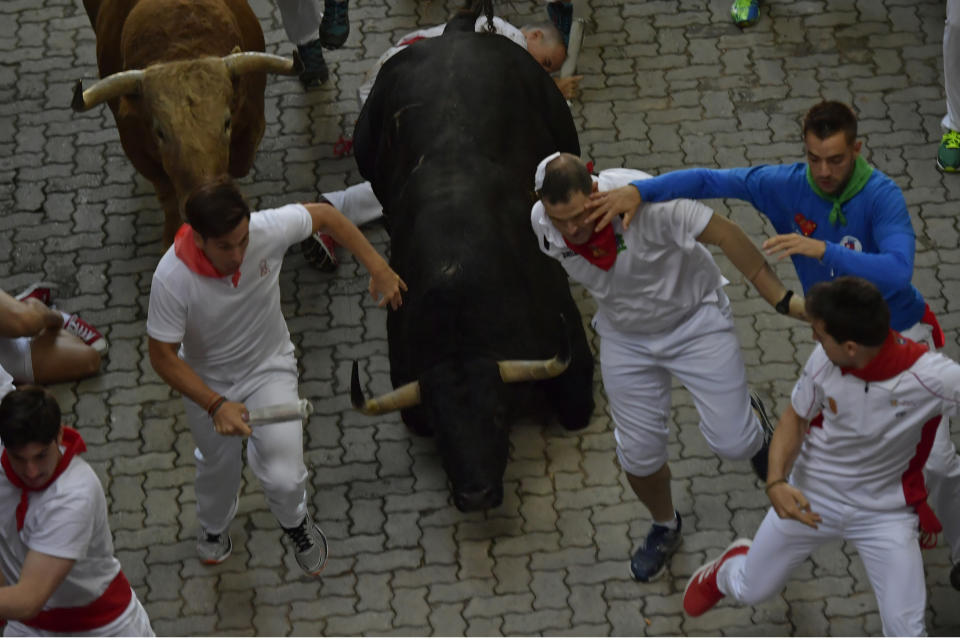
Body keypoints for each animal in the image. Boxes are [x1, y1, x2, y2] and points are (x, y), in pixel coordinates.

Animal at [75, 0, 300, 245]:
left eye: (227, 122)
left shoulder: (253, 124)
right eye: (160, 132)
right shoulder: (135, 149)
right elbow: (167, 196)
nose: (209, 204)